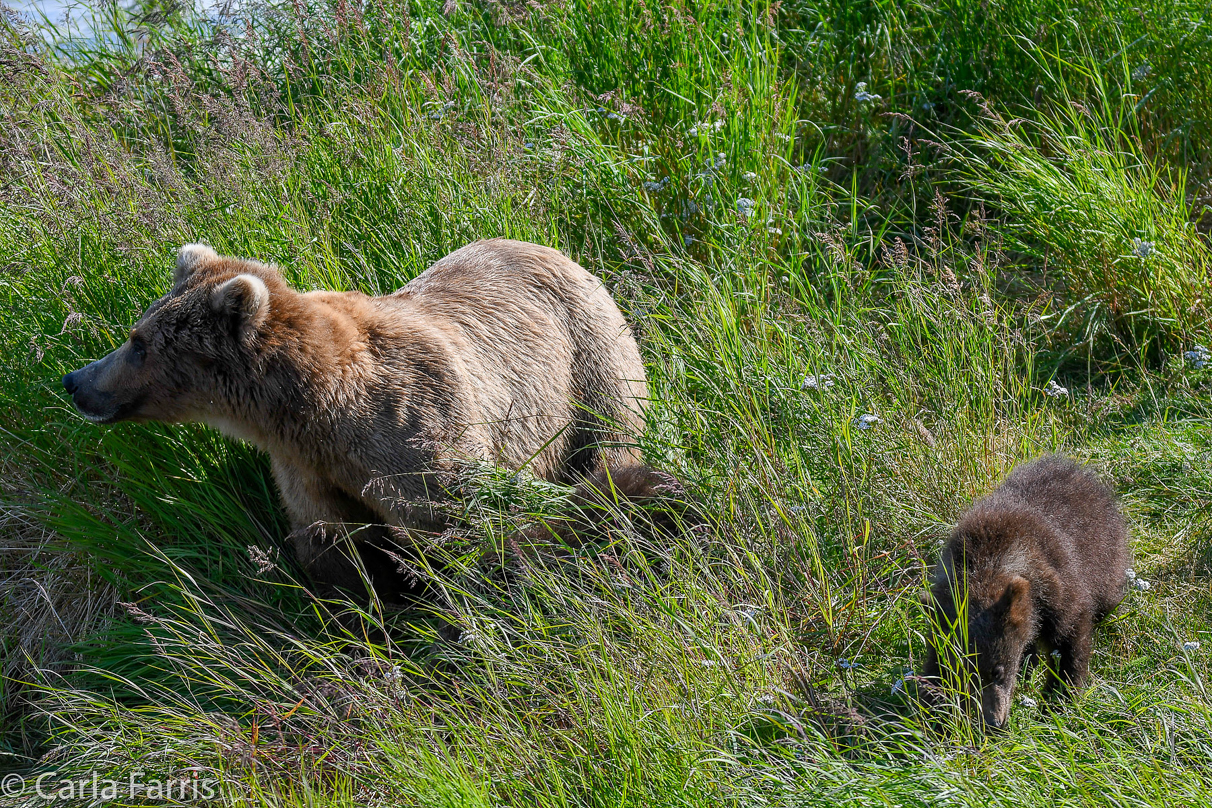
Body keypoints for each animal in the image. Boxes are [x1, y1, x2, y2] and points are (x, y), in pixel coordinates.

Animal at [63, 238, 673, 600]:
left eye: (138, 342)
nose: (75, 381)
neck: (320, 410)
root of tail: (553, 248)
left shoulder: (419, 431)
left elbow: (472, 532)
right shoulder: (306, 468)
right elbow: (338, 552)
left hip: (588, 362)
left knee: (610, 445)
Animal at [921, 457, 1129, 731]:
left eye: (997, 670)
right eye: (965, 672)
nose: (993, 722)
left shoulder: (1057, 587)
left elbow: (1071, 640)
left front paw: (1058, 703)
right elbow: (935, 663)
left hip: (1106, 556)